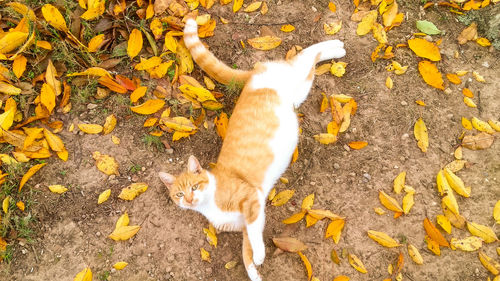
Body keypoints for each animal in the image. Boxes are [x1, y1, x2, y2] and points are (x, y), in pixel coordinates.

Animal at [158, 15, 346, 280]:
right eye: (179, 194)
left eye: (194, 187)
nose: (191, 199)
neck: (210, 204)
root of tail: (252, 75)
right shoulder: (245, 224)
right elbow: (245, 253)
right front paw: (255, 271)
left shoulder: (252, 201)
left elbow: (255, 238)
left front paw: (259, 254)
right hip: (300, 91)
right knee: (310, 62)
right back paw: (336, 48)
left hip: (292, 76)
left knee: (305, 55)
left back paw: (336, 45)